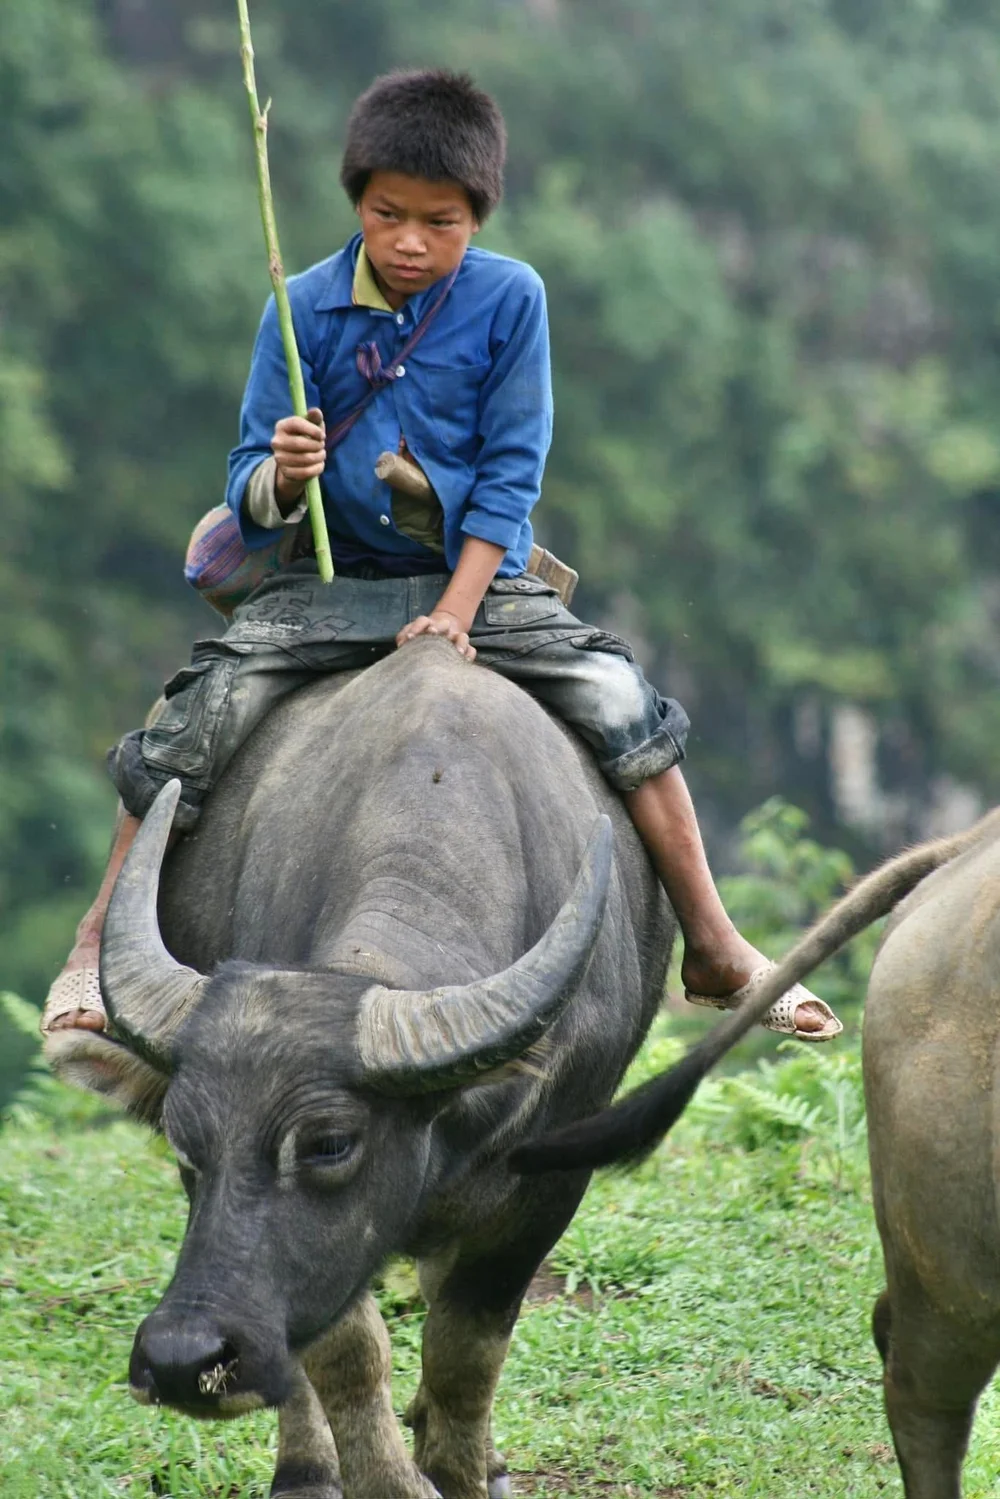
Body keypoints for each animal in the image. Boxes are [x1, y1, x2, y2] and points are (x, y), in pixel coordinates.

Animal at [47, 639, 674, 1499]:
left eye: (330, 1142)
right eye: (184, 1141)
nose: (182, 1359)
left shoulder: (546, 1188)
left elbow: (465, 1352)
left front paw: (461, 1469)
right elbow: (347, 1349)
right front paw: (391, 1478)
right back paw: (306, 1467)